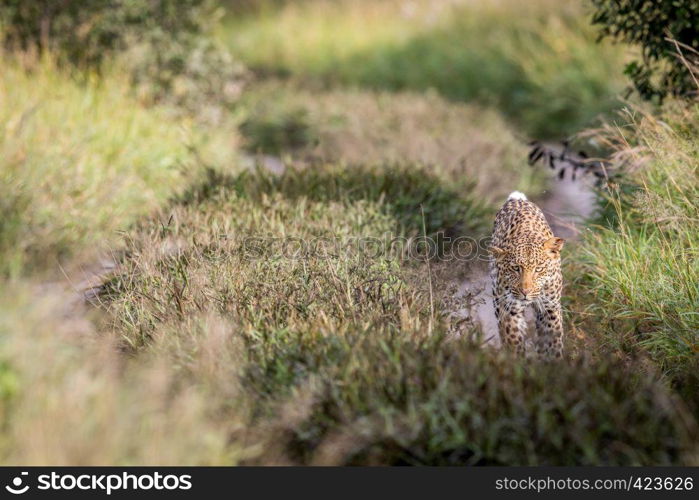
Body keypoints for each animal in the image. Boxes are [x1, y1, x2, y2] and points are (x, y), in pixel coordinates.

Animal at [490, 191, 568, 360]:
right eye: (515, 268)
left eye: (538, 269)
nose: (526, 292)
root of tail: (517, 200)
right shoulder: (508, 310)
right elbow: (513, 342)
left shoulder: (549, 309)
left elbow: (552, 342)